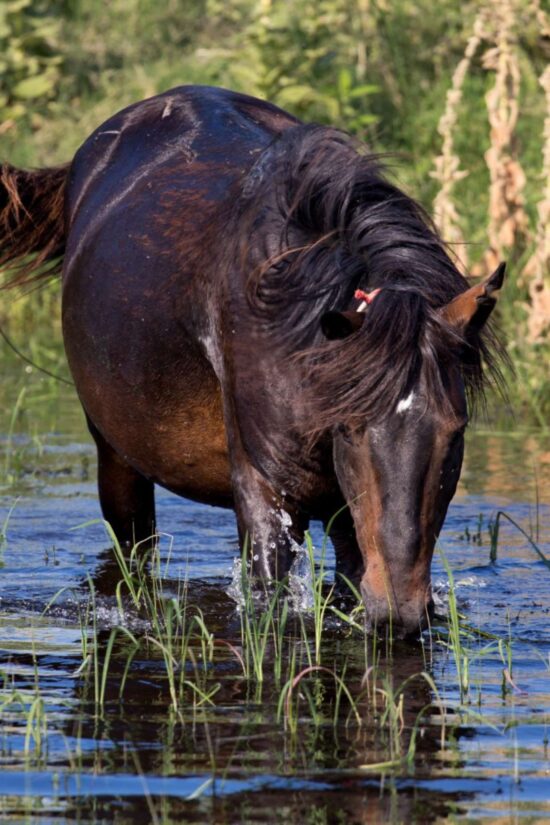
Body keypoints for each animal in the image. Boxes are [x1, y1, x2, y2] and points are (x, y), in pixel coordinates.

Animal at [0, 85, 508, 636]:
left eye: (455, 430)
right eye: (351, 429)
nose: (400, 611)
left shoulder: (347, 520)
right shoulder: (266, 495)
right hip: (116, 458)